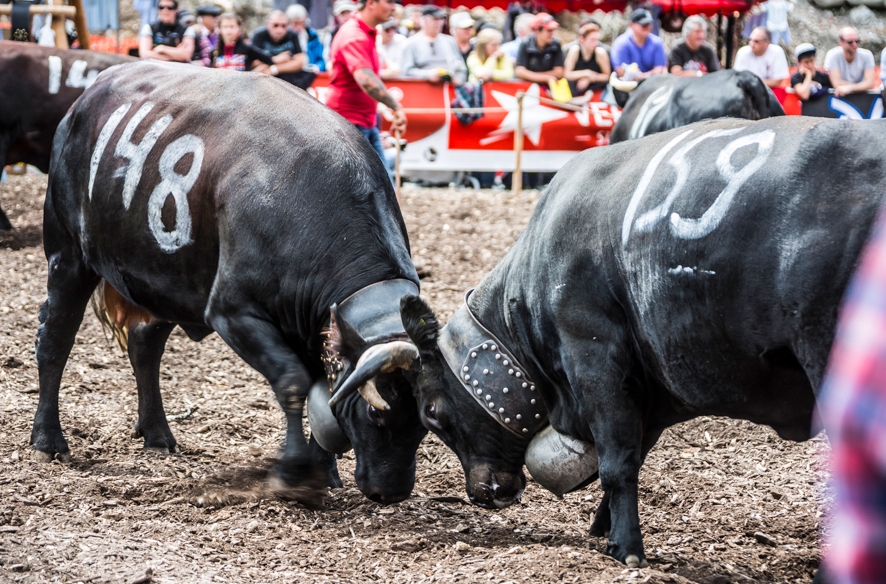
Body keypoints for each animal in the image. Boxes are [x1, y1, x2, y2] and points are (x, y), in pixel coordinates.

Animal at [31, 61, 426, 504]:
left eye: (427, 421)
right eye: (377, 410)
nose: (393, 490)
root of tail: (90, 92)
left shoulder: (311, 327)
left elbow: (319, 394)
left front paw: (323, 469)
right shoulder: (233, 312)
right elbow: (293, 383)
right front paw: (295, 472)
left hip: (166, 282)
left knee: (144, 346)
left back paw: (157, 434)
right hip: (68, 257)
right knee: (55, 339)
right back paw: (48, 440)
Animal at [380, 116, 886, 568]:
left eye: (432, 412)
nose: (482, 492)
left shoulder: (595, 357)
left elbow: (618, 461)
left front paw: (626, 548)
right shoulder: (645, 385)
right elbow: (632, 455)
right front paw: (602, 527)